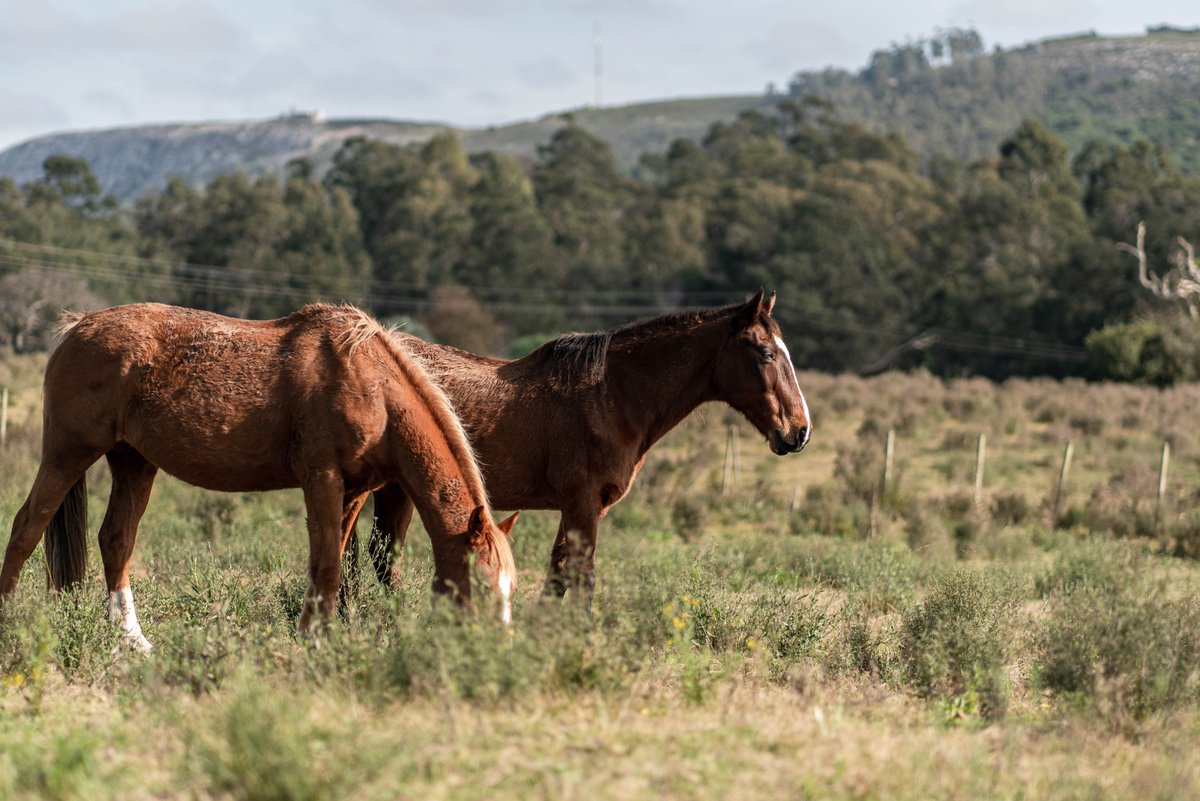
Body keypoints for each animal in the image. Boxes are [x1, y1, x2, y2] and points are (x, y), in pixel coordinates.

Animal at [0, 302, 519, 652]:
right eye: (482, 583)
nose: (496, 647)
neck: (371, 385)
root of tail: (78, 325)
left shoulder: (353, 492)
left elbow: (331, 565)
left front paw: (319, 631)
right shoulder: (322, 480)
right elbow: (327, 566)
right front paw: (317, 640)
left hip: (133, 463)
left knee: (115, 541)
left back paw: (134, 642)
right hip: (68, 454)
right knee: (26, 528)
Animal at [353, 289, 809, 600]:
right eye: (766, 353)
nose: (799, 430)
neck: (612, 396)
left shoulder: (584, 506)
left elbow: (558, 575)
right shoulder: (582, 502)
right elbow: (582, 576)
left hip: (397, 490)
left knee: (381, 555)